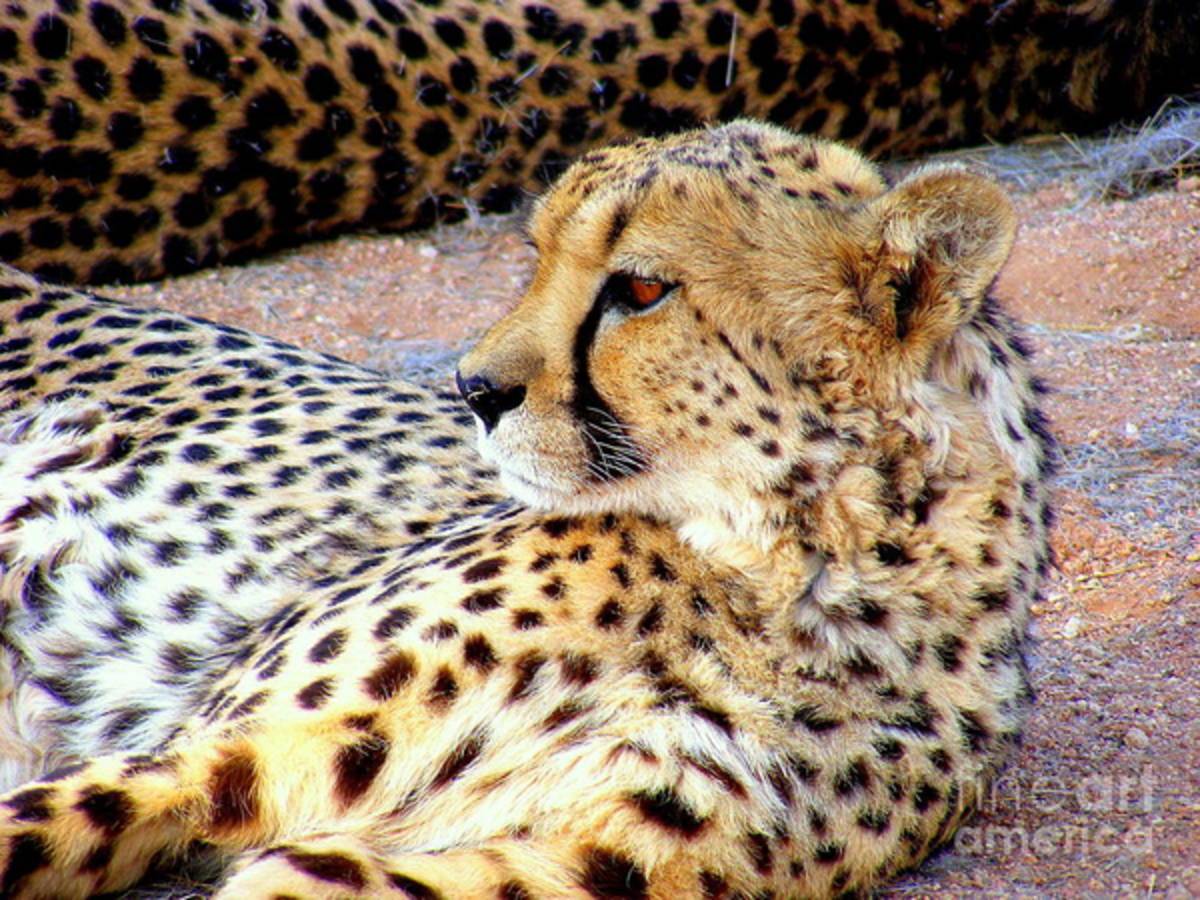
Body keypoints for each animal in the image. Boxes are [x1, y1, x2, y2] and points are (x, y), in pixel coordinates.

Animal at [0, 121, 1054, 898]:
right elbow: (51, 820)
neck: (774, 573)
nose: (473, 388)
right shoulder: (215, 746)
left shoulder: (572, 862)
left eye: (639, 288)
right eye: (538, 257)